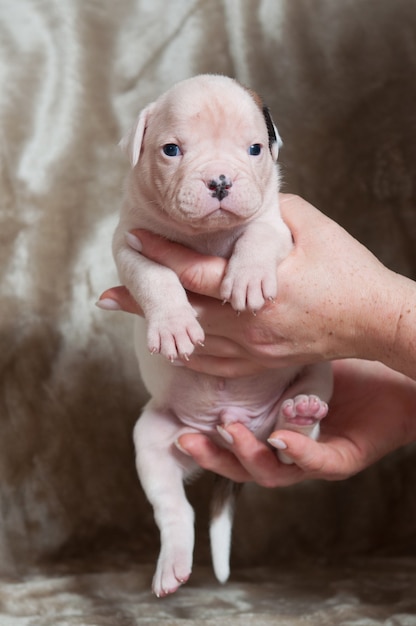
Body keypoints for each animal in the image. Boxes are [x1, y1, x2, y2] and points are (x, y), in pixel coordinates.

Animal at [112, 75, 334, 596]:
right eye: (171, 150)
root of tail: (227, 432)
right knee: (173, 508)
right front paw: (174, 325)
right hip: (154, 438)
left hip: (318, 372)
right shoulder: (129, 242)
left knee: (293, 444)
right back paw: (171, 565)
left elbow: (257, 236)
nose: (219, 181)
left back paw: (301, 412)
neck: (206, 237)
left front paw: (247, 278)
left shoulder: (278, 228)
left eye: (254, 149)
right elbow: (155, 276)